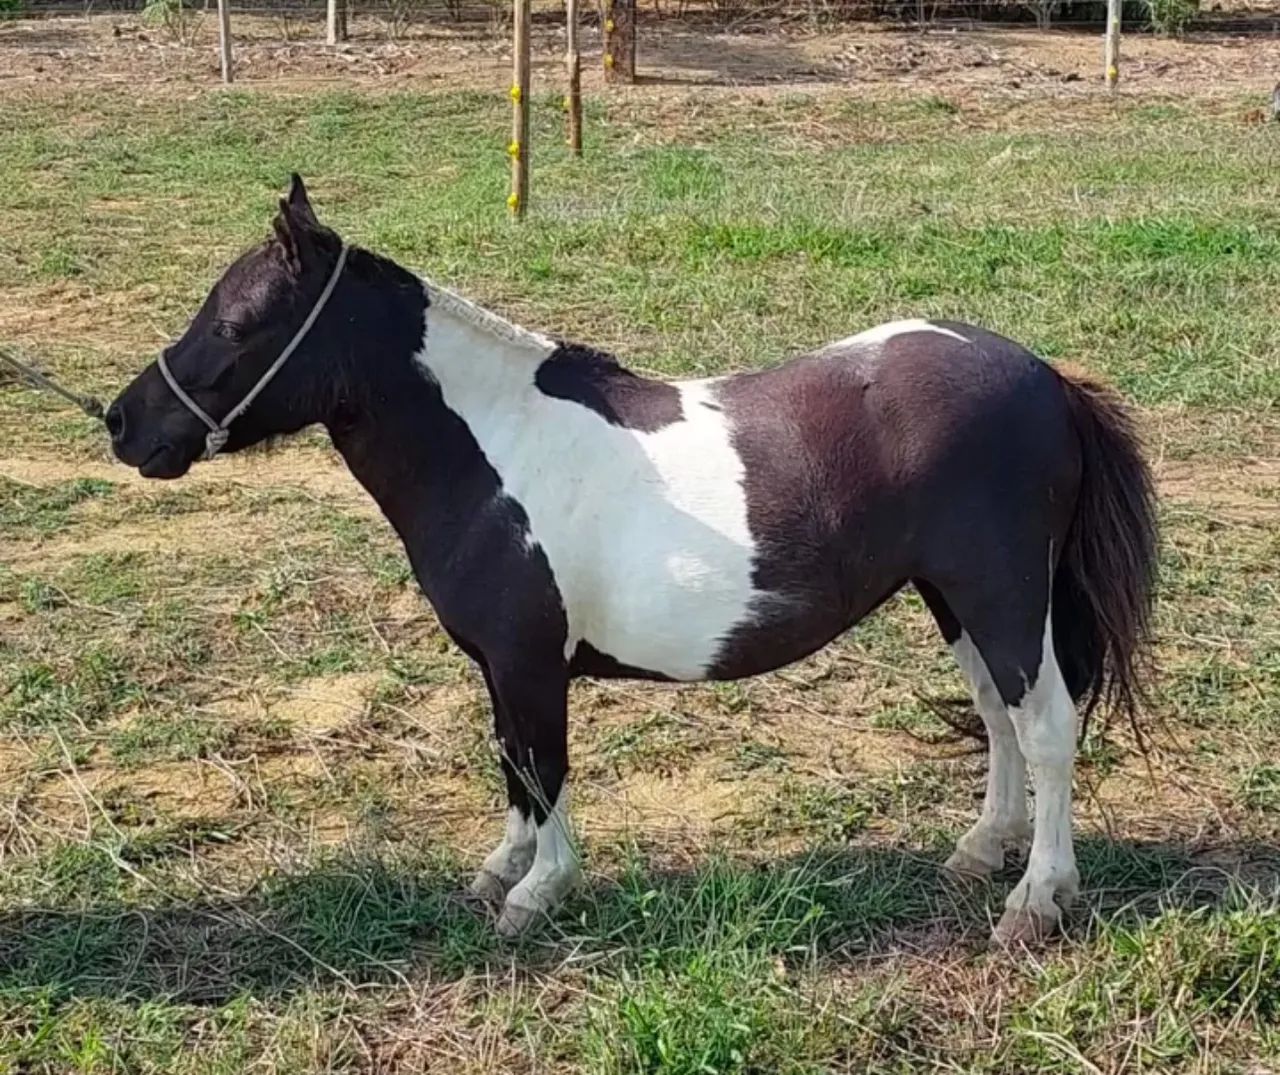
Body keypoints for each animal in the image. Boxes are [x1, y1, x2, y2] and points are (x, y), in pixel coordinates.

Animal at [106, 175, 1157, 946]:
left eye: (236, 324)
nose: (123, 423)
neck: (495, 445)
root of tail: (1045, 376)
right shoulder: (505, 668)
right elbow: (513, 764)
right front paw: (501, 869)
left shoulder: (530, 662)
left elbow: (543, 766)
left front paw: (538, 891)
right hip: (952, 594)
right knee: (997, 714)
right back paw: (981, 850)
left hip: (1003, 590)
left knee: (1045, 726)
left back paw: (1036, 898)